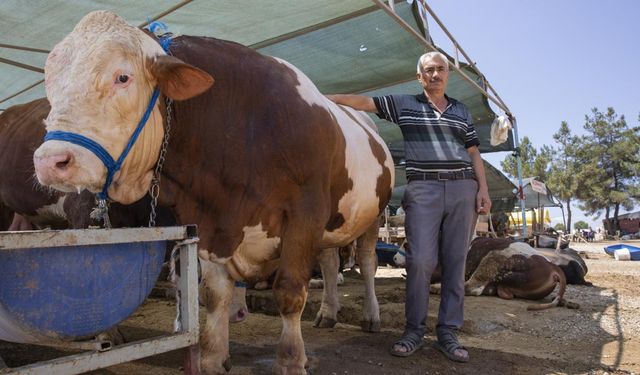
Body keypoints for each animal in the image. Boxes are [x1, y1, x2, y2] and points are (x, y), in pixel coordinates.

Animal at [35, 10, 398, 374]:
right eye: (50, 81)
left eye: (123, 77)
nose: (50, 160)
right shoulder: (209, 221)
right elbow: (214, 294)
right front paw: (212, 356)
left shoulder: (304, 214)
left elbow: (290, 292)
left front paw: (292, 360)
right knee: (329, 261)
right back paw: (327, 312)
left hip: (371, 216)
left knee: (366, 262)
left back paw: (371, 315)